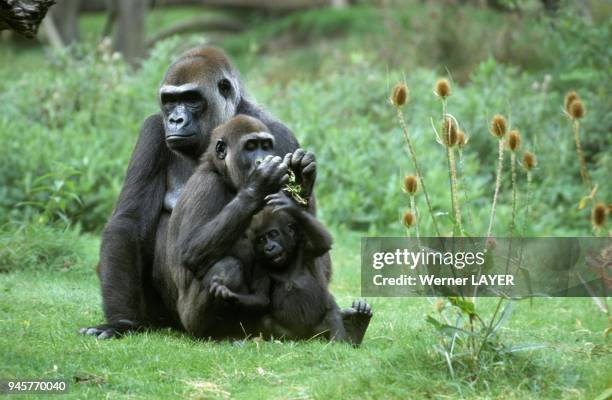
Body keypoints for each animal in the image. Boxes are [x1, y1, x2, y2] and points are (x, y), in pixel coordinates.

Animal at [80, 48, 310, 340]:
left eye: (191, 99)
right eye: (170, 101)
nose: (175, 120)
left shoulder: (279, 134)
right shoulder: (152, 130)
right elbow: (128, 221)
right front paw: (121, 321)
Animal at [213, 191, 370, 344]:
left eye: (273, 234)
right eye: (261, 240)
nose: (269, 248)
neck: (288, 260)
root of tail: (306, 339)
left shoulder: (306, 249)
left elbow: (324, 243)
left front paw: (293, 208)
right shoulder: (260, 265)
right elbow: (261, 298)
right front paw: (228, 295)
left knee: (332, 314)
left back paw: (355, 329)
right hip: (298, 335)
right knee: (267, 322)